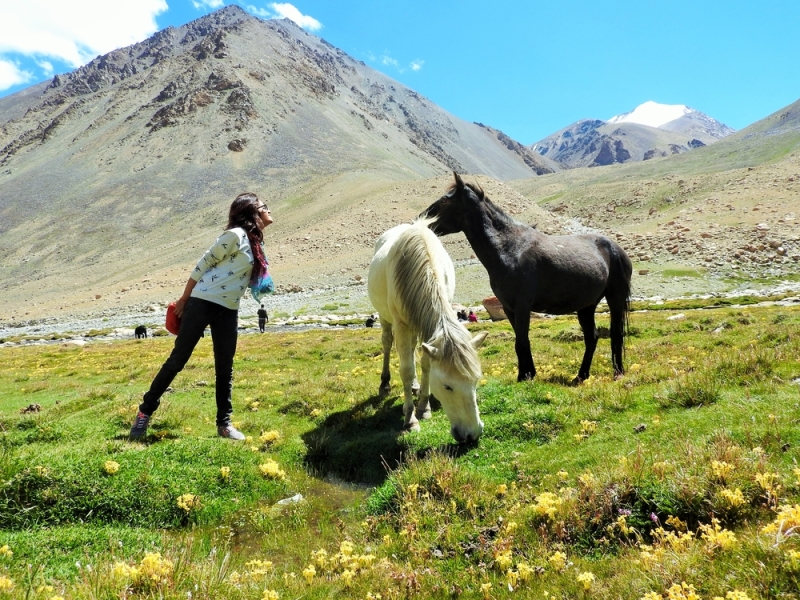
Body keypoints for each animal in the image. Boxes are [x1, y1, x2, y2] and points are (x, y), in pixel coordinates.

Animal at [368, 219, 488, 440]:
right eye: (448, 386)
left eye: (476, 381)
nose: (472, 434)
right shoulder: (401, 324)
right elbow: (406, 370)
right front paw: (410, 419)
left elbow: (426, 364)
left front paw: (424, 407)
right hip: (384, 317)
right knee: (388, 344)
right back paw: (385, 383)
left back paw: (415, 387)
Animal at [422, 171, 636, 382]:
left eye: (444, 200)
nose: (422, 219)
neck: (509, 248)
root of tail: (617, 250)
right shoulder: (509, 308)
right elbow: (520, 340)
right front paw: (525, 374)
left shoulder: (522, 306)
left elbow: (522, 341)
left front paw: (526, 376)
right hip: (586, 306)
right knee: (592, 338)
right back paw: (580, 376)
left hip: (615, 299)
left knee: (616, 334)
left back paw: (617, 373)